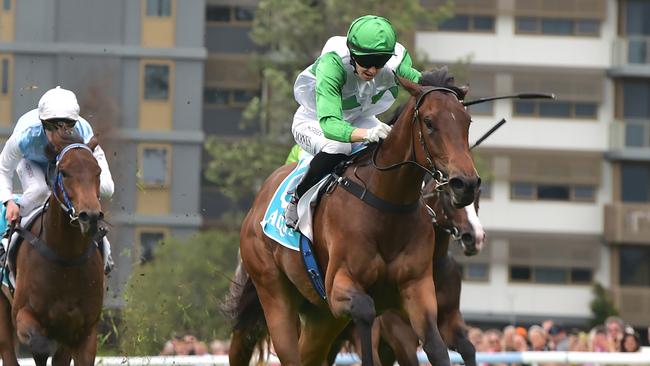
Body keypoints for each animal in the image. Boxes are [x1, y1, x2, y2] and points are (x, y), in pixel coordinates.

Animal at [0, 130, 106, 364]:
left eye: (98, 171)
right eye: (64, 172)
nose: (90, 216)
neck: (66, 257)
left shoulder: (85, 331)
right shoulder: (22, 315)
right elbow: (41, 345)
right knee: (9, 353)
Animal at [227, 69, 476, 366]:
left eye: (467, 121)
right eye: (429, 122)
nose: (466, 184)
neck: (386, 205)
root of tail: (258, 202)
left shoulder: (418, 290)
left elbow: (438, 347)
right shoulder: (342, 290)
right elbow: (366, 312)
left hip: (320, 315)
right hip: (273, 292)